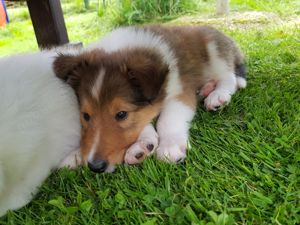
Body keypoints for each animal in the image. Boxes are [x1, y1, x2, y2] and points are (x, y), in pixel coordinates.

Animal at [54, 24, 246, 172]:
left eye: (121, 114)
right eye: (85, 116)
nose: (95, 167)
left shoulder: (180, 92)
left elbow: (166, 121)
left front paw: (170, 147)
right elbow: (144, 121)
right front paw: (75, 155)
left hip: (214, 49)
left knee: (230, 78)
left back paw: (217, 95)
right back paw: (206, 89)